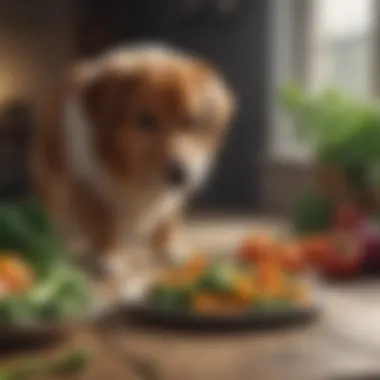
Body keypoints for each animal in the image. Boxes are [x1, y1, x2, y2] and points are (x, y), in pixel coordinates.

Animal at [31, 45, 236, 280]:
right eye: (145, 120)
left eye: (191, 121)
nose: (180, 174)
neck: (133, 174)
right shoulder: (90, 186)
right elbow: (102, 226)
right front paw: (108, 258)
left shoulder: (170, 198)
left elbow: (166, 223)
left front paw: (168, 251)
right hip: (52, 178)